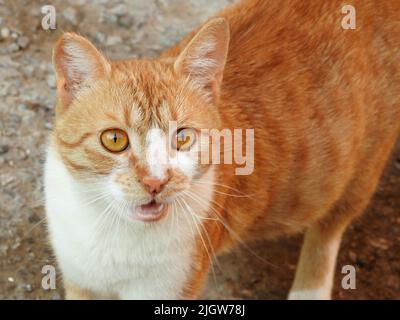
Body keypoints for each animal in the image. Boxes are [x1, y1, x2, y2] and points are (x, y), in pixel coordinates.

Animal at [44, 0, 400, 300]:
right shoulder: (80, 279)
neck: (111, 228)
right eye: (115, 140)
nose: (156, 182)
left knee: (329, 227)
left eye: (183, 138)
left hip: (356, 171)